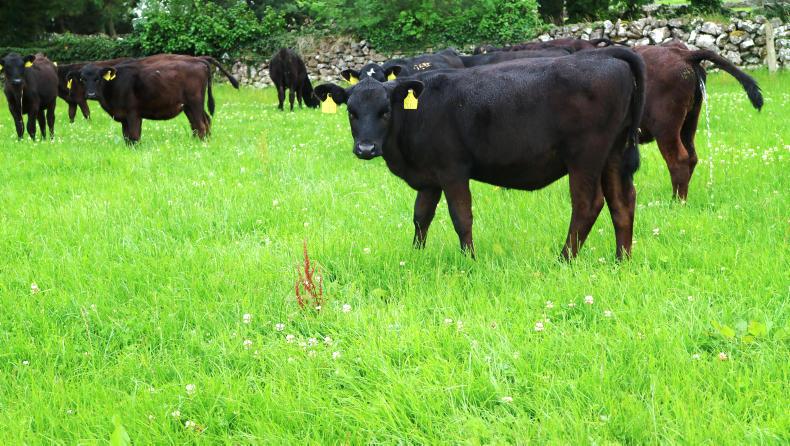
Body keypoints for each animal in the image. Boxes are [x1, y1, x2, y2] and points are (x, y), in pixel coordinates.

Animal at [67, 54, 239, 143]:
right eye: (82, 79)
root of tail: (199, 60)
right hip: (189, 107)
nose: (90, 95)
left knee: (201, 125)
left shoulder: (133, 114)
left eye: (98, 78)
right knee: (202, 123)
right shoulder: (123, 117)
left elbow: (134, 136)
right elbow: (127, 137)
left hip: (195, 103)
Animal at [315, 48, 646, 260]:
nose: (366, 148)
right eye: (352, 111)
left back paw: (564, 258)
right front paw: (416, 255)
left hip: (584, 157)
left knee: (588, 204)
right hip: (615, 155)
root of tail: (606, 56)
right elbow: (421, 216)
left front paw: (469, 259)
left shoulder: (452, 170)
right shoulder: (429, 177)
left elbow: (461, 217)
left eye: (385, 111)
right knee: (622, 203)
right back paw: (622, 259)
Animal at [634, 41, 763, 200]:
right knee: (691, 157)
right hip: (689, 123)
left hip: (666, 128)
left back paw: (676, 201)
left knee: (678, 160)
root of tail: (683, 54)